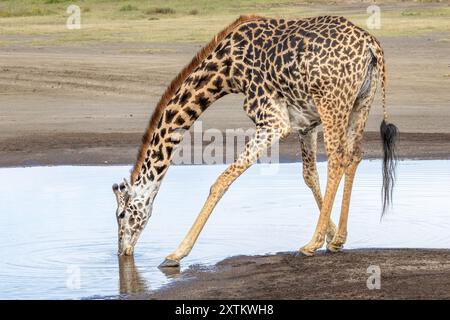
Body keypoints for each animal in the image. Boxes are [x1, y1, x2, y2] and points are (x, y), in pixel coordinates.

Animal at [111, 15, 398, 268]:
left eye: (121, 214)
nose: (122, 252)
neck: (226, 71)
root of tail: (372, 45)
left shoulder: (274, 121)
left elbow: (220, 182)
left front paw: (176, 253)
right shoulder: (305, 123)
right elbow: (309, 176)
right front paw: (333, 234)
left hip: (332, 103)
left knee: (338, 157)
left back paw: (311, 243)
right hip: (360, 102)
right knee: (354, 156)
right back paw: (337, 238)